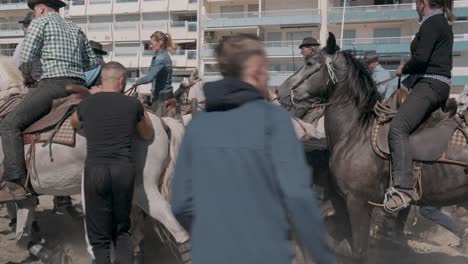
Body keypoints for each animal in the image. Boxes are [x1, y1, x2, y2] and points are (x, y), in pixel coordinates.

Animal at [0, 58, 190, 260]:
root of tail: (161, 122)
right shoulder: (25, 195)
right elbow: (22, 230)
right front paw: (44, 250)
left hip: (143, 190)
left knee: (175, 227)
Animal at [278, 33, 468, 262]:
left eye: (310, 63)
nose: (280, 91)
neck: (355, 132)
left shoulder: (358, 202)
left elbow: (356, 251)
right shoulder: (340, 200)